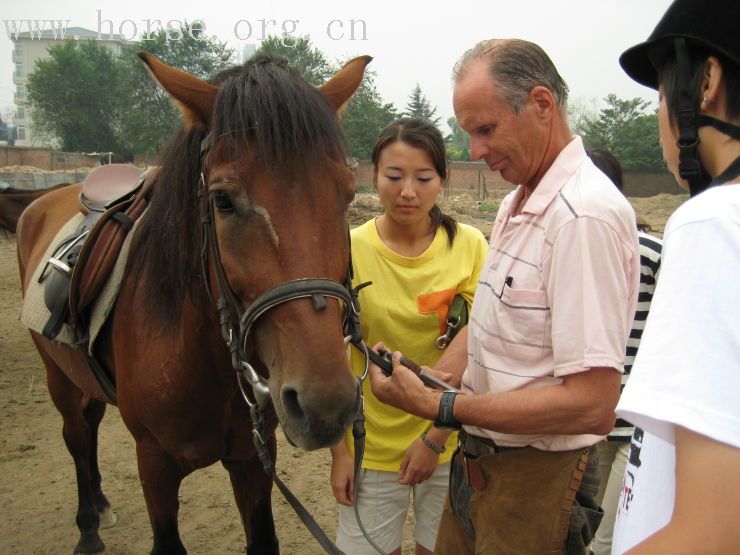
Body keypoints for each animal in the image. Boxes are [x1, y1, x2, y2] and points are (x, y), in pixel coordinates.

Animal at [18, 53, 370, 555]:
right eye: (221, 200)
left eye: (347, 195)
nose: (326, 404)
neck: (201, 358)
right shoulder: (155, 466)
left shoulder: (251, 457)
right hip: (57, 376)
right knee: (76, 436)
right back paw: (88, 525)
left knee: (90, 423)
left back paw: (101, 504)